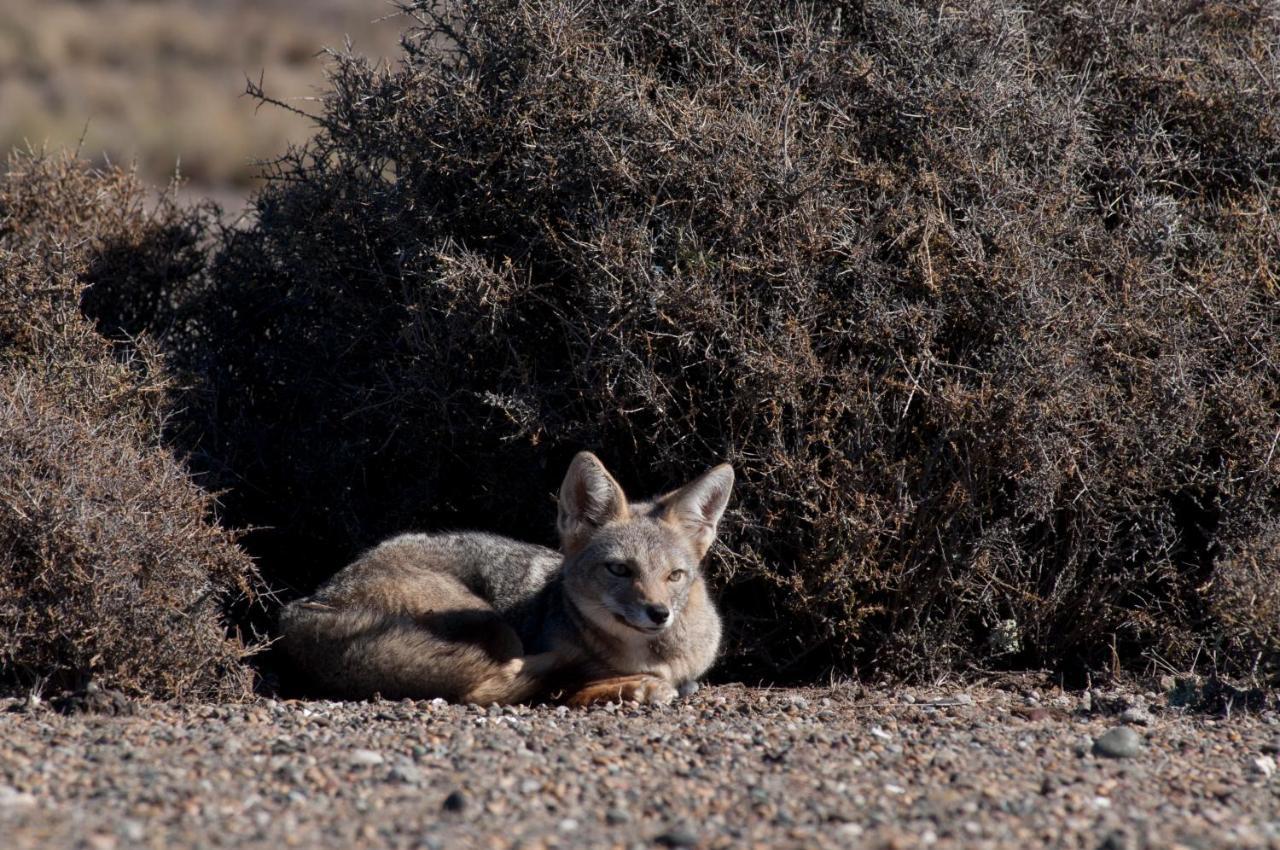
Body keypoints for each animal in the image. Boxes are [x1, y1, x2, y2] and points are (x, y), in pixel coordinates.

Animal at [277, 455, 732, 706]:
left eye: (675, 576)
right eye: (620, 569)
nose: (659, 613)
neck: (649, 656)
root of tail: (310, 602)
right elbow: (578, 682)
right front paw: (632, 685)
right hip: (493, 621)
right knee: (485, 686)